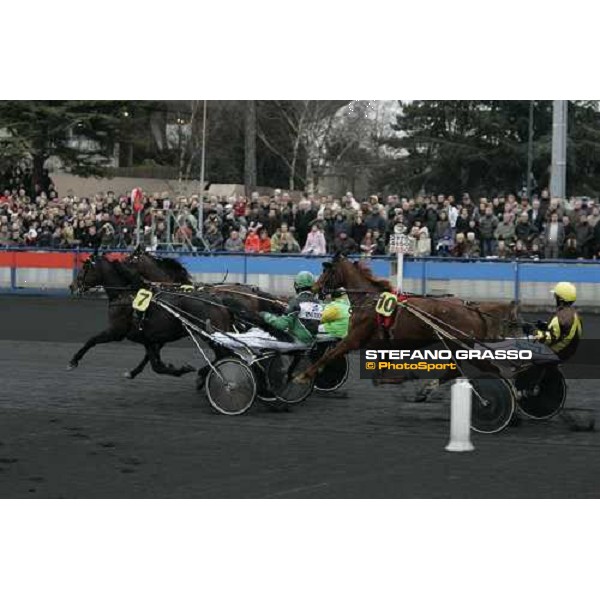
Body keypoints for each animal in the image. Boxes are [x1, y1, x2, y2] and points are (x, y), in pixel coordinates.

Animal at [296, 253, 520, 398]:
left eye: (327, 272)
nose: (314, 288)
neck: (368, 300)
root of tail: (472, 308)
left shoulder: (354, 339)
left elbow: (330, 354)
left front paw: (303, 375)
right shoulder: (382, 346)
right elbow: (378, 376)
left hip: (457, 345)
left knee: (467, 369)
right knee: (477, 368)